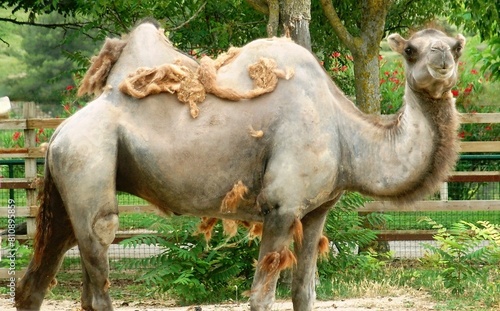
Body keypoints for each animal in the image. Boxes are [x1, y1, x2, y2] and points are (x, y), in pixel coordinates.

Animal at [14, 20, 464, 311]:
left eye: (456, 45)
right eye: (411, 49)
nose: (442, 59)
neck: (346, 135)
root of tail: (58, 132)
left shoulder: (316, 210)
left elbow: (305, 294)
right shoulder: (281, 206)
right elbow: (262, 298)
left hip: (66, 189)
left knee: (38, 282)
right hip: (87, 161)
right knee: (100, 250)